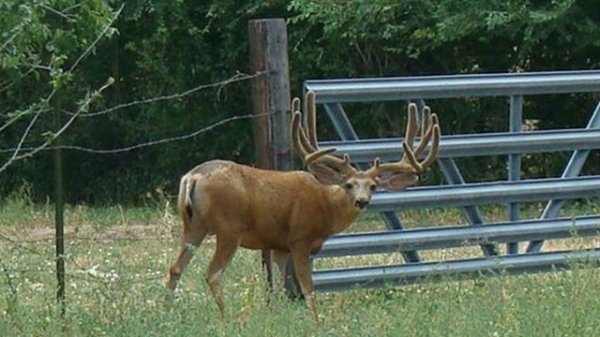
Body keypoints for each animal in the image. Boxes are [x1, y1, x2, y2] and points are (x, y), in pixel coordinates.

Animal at [164, 90, 440, 320]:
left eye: (372, 186)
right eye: (349, 184)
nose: (361, 201)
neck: (327, 207)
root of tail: (193, 177)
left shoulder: (279, 246)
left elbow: (277, 285)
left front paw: (276, 317)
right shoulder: (299, 238)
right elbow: (308, 289)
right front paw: (317, 322)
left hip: (193, 224)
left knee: (175, 268)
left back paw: (169, 315)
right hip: (229, 227)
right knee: (213, 273)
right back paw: (226, 319)